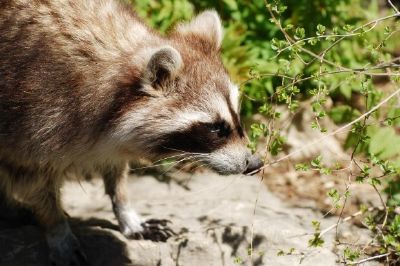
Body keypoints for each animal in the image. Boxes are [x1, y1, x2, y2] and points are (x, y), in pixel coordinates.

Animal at [0, 1, 262, 264]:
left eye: (237, 116)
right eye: (216, 128)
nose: (255, 164)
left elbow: (115, 168)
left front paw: (125, 209)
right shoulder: (32, 114)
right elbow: (34, 180)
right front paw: (56, 228)